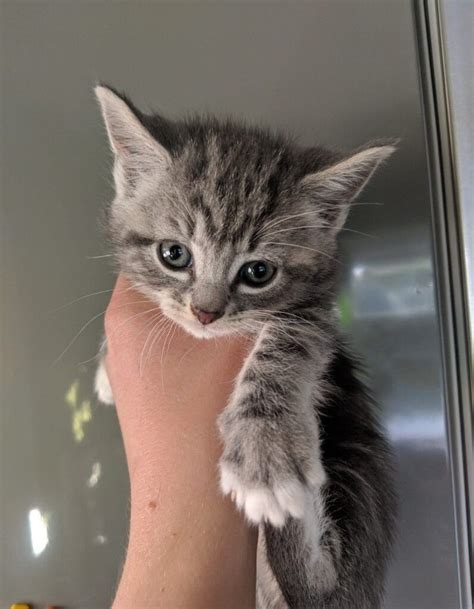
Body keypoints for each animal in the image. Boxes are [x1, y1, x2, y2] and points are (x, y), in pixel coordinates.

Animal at [93, 85, 396, 608]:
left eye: (258, 272)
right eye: (174, 254)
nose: (205, 313)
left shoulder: (315, 311)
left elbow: (288, 343)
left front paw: (265, 447)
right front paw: (103, 373)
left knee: (316, 580)